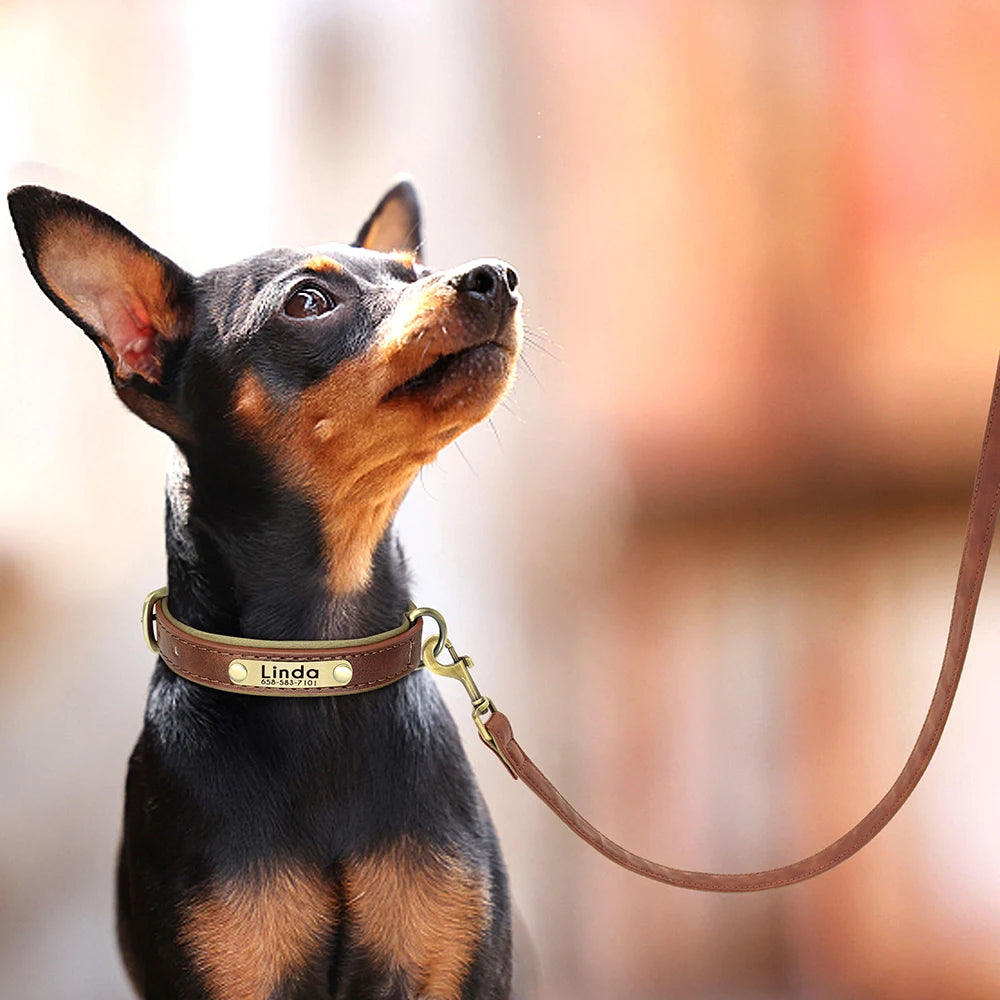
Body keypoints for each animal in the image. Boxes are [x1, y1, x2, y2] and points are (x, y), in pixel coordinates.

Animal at [7, 182, 524, 1000]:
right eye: (308, 302)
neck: (316, 672)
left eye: (416, 270)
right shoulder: (225, 975)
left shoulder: (456, 969)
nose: (496, 277)